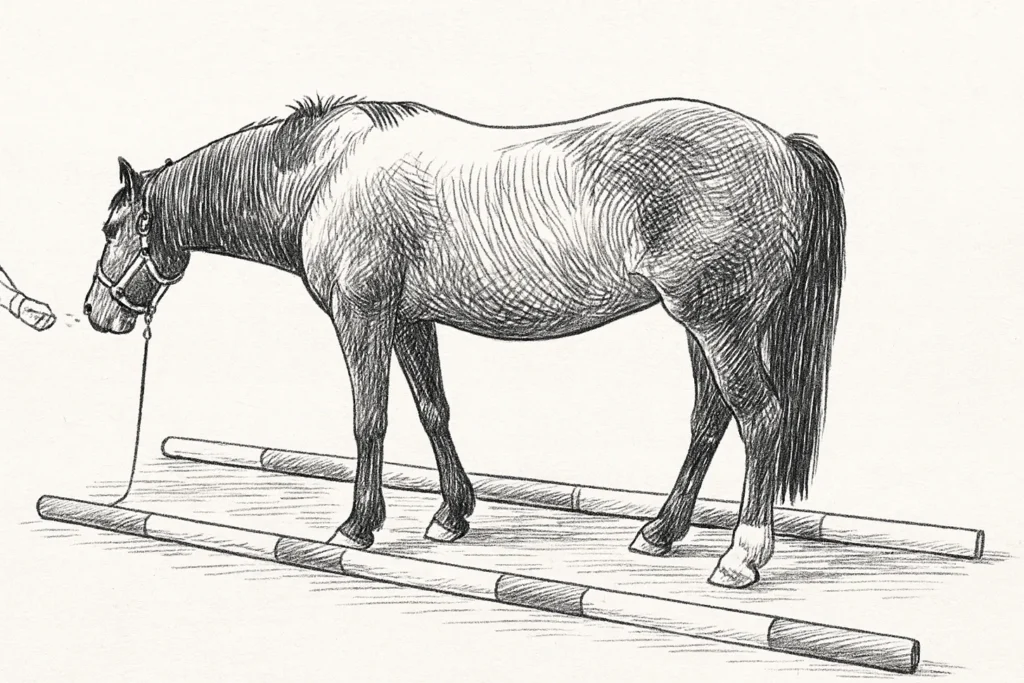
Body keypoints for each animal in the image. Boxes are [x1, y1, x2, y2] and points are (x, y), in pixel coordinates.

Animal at [83, 94, 845, 589]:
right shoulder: (409, 320)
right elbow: (432, 411)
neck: (327, 174)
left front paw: (358, 525)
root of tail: (783, 147)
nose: (95, 311)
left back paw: (741, 556)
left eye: (112, 227)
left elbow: (370, 419)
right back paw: (661, 533)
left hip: (720, 323)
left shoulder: (361, 317)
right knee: (711, 417)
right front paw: (452, 514)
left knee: (760, 419)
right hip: (701, 324)